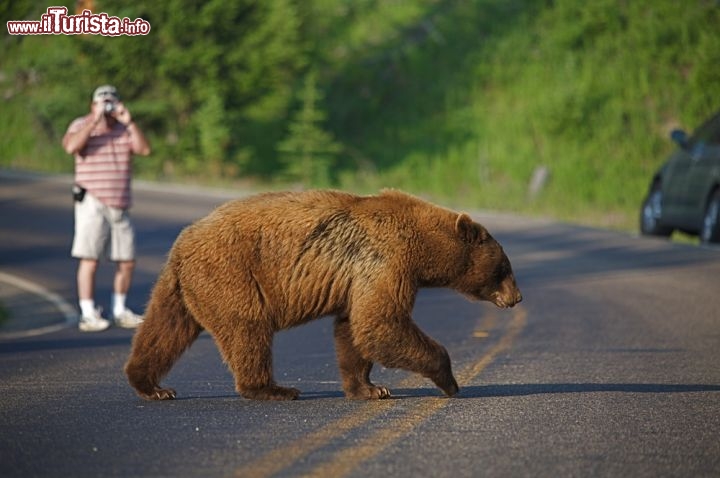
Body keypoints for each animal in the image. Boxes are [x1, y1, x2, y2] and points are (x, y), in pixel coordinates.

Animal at [122, 189, 516, 402]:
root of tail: (182, 243)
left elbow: (353, 329)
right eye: (504, 268)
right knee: (247, 329)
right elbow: (380, 323)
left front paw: (370, 388)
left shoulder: (358, 277)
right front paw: (449, 381)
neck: (423, 248)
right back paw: (273, 388)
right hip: (232, 274)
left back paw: (151, 385)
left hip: (183, 286)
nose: (517, 298)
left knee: (165, 329)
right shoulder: (385, 260)